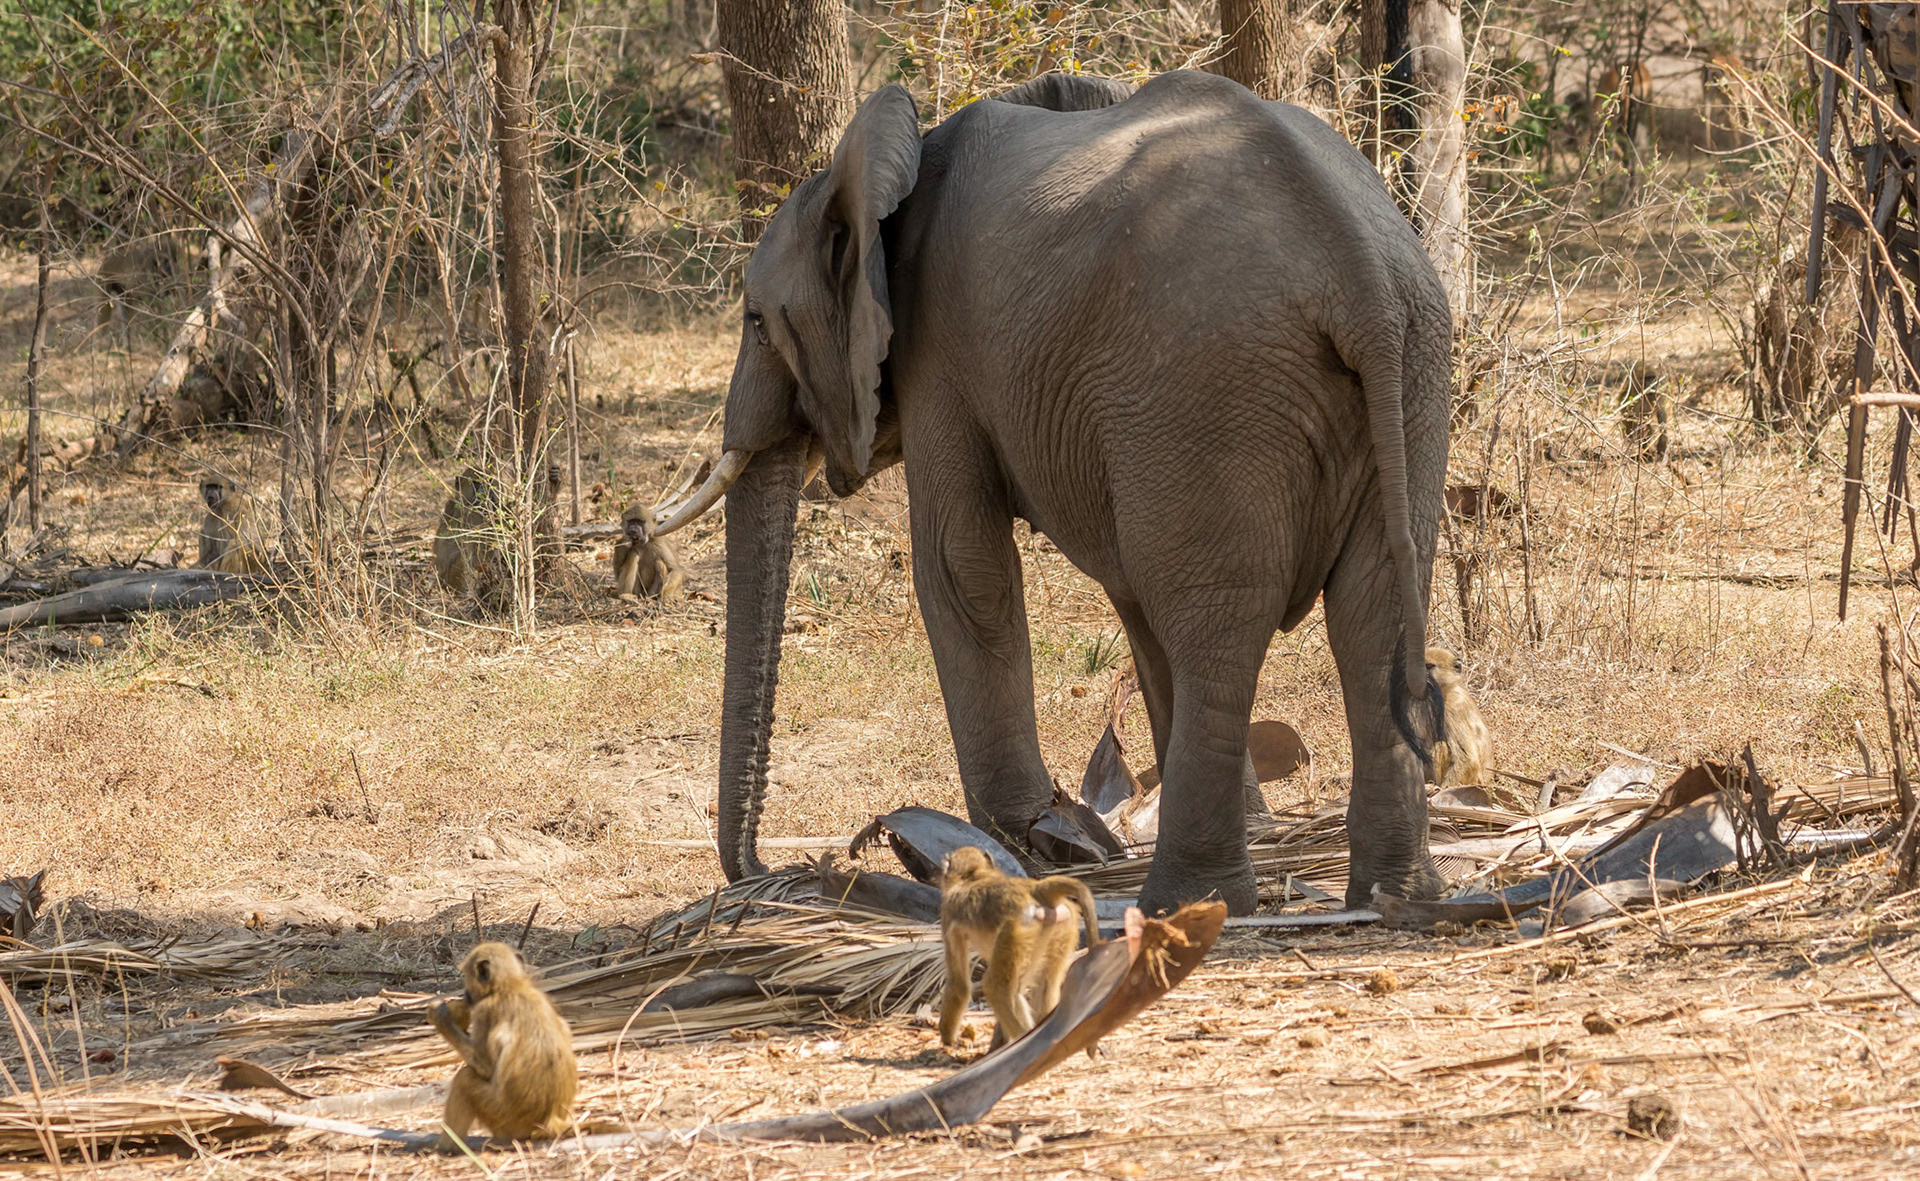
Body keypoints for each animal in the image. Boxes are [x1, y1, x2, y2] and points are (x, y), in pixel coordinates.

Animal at [653, 70, 1453, 916]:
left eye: (755, 321)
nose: (777, 872)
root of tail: (1361, 274)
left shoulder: (940, 352)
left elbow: (960, 568)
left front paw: (1033, 833)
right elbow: (1126, 595)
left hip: (1210, 384)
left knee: (1215, 622)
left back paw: (1180, 903)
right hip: (1408, 367)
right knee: (1364, 611)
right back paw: (1394, 895)